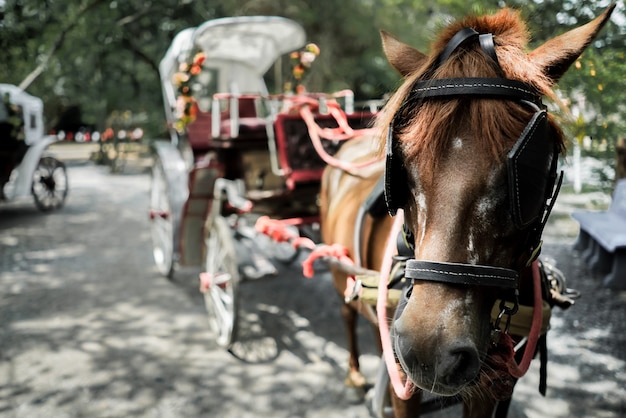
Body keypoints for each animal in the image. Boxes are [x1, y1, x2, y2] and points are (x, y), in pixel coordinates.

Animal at [320, 4, 612, 418]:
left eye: (530, 168)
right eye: (402, 162)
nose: (430, 352)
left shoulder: (496, 383)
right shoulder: (404, 381)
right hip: (339, 270)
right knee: (348, 311)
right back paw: (356, 373)